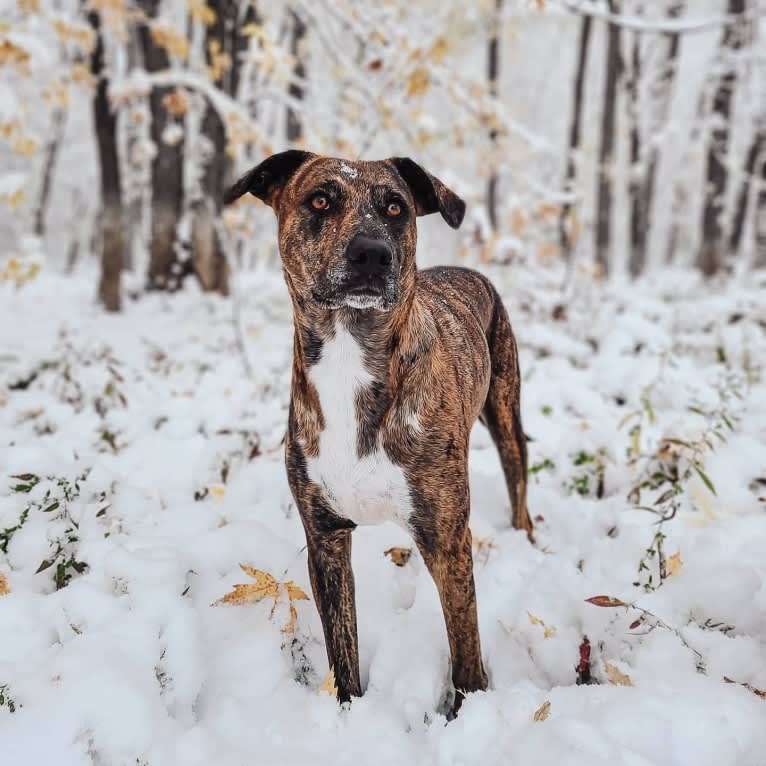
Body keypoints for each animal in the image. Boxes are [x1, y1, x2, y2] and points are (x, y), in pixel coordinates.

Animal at [222, 152, 536, 720]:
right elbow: (341, 648)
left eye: (395, 207)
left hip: (505, 409)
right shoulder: (324, 538)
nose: (373, 253)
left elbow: (466, 648)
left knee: (518, 475)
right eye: (320, 200)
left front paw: (467, 711)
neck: (351, 353)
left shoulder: (447, 540)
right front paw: (349, 712)